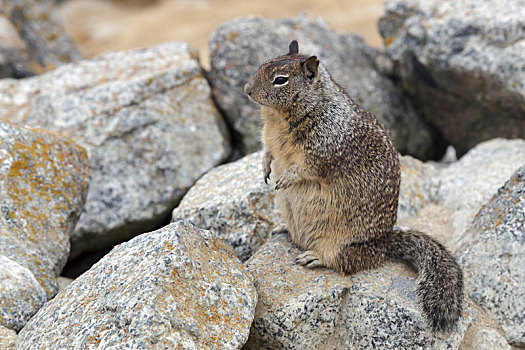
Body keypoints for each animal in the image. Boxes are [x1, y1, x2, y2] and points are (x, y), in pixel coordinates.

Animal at [244, 40, 460, 330]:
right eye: (263, 64)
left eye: (281, 80)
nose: (247, 89)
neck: (279, 117)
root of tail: (383, 244)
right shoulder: (269, 137)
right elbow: (268, 151)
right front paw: (266, 167)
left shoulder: (325, 148)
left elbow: (306, 168)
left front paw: (285, 178)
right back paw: (283, 228)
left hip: (341, 244)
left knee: (342, 262)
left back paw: (313, 256)